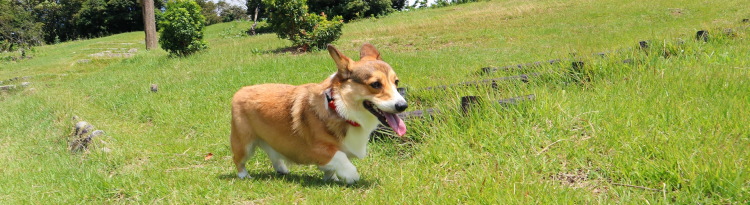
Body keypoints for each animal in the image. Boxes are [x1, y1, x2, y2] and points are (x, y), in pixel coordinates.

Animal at [232, 43, 408, 184]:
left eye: (396, 82)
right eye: (376, 84)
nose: (403, 106)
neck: (339, 107)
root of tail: (240, 91)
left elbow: (331, 167)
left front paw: (331, 178)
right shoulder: (312, 149)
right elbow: (340, 157)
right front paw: (351, 176)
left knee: (273, 153)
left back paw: (282, 170)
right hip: (244, 143)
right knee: (238, 160)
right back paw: (244, 176)